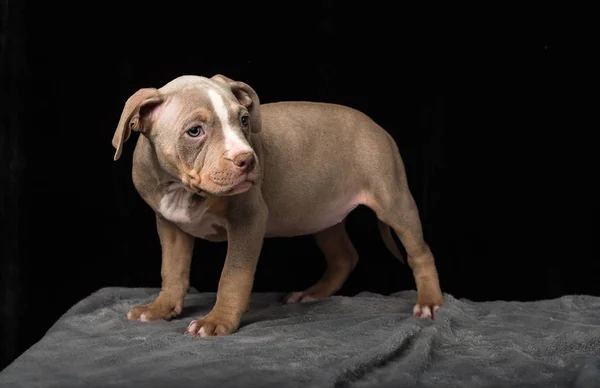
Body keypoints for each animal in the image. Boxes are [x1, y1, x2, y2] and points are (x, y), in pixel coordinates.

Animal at [112, 74, 442, 334]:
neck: (182, 188)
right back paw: (312, 294)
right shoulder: (170, 225)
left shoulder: (248, 220)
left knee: (420, 252)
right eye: (194, 131)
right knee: (343, 257)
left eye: (244, 120)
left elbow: (233, 275)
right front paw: (161, 308)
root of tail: (376, 126)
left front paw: (217, 321)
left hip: (393, 198)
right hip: (321, 213)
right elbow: (172, 270)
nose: (247, 160)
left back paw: (429, 303)